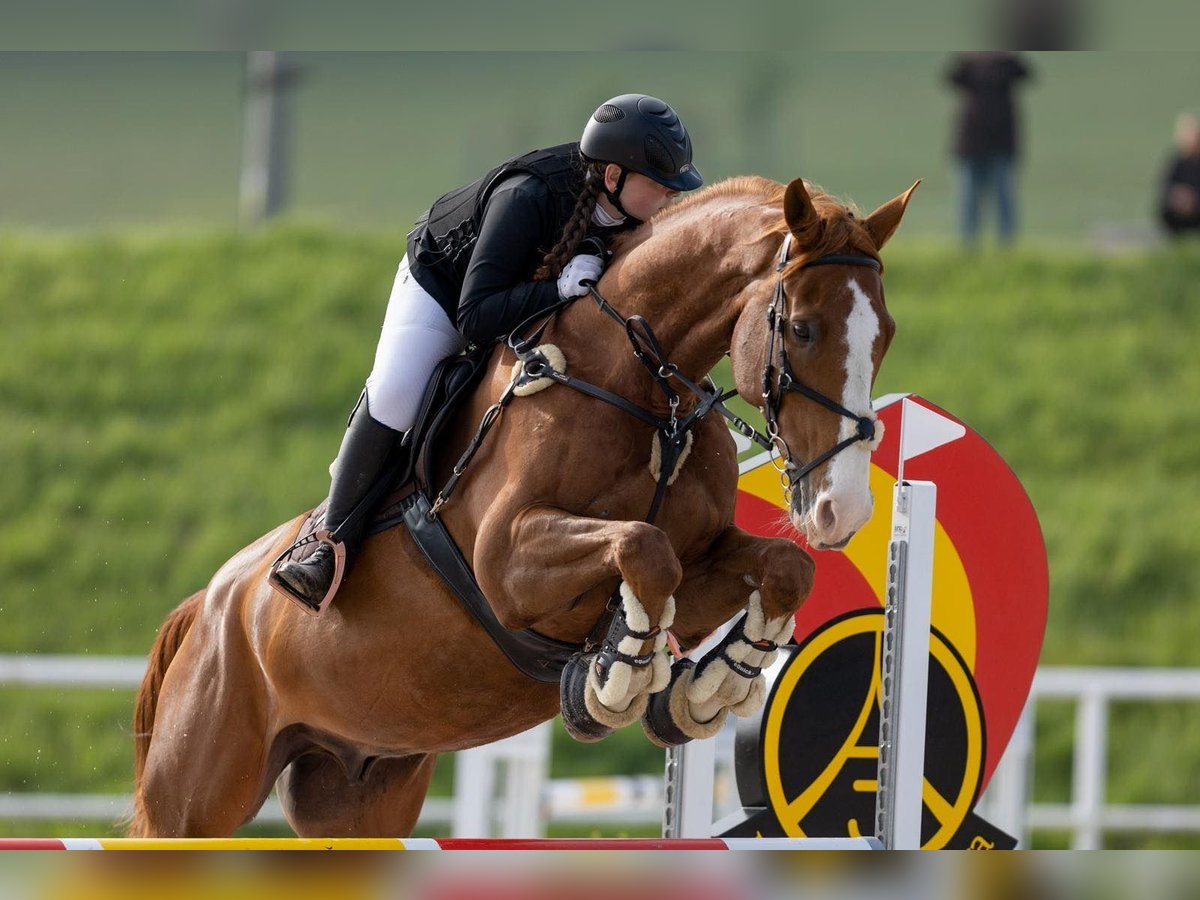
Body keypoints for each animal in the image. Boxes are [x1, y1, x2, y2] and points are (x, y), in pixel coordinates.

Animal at [131, 176, 912, 840]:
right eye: (803, 328)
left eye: (885, 335)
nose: (842, 509)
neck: (640, 390)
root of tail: (209, 602)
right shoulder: (509, 566)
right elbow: (640, 545)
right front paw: (617, 681)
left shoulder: (702, 566)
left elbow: (779, 567)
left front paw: (709, 686)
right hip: (197, 797)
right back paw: (311, 563)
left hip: (359, 789)